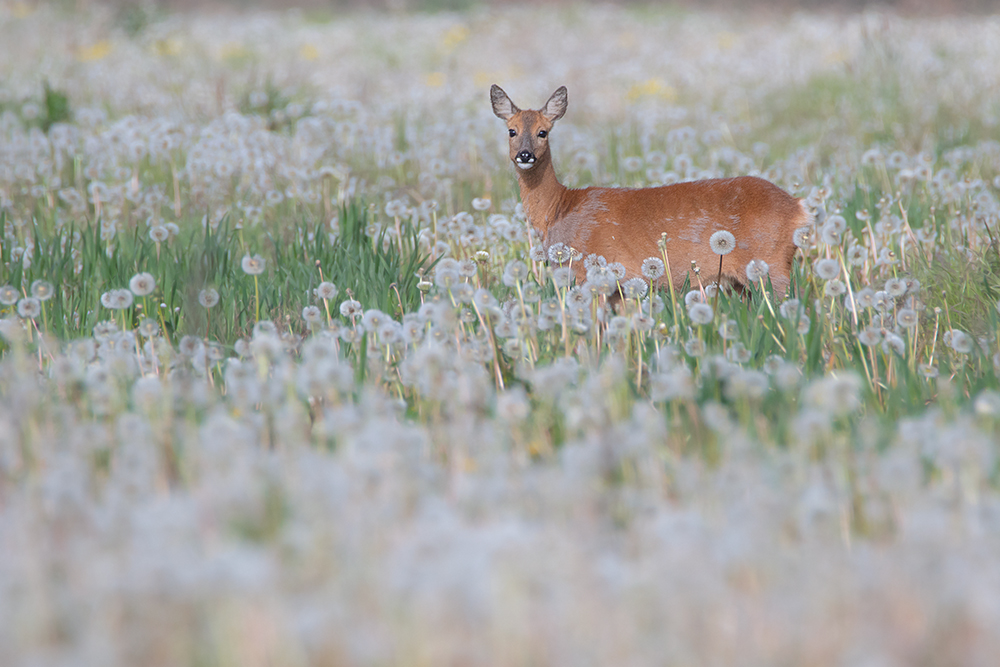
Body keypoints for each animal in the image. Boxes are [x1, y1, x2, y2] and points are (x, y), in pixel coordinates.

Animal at [492, 85, 812, 298]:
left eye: (543, 132)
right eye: (511, 130)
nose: (524, 155)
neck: (560, 209)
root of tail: (799, 208)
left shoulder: (589, 271)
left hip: (770, 266)